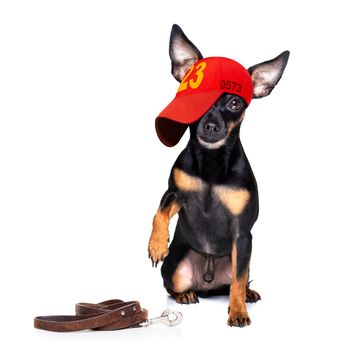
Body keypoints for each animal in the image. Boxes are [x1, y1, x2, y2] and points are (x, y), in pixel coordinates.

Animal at [146, 24, 288, 328]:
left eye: (234, 103)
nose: (211, 126)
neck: (212, 162)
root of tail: (207, 283)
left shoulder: (242, 234)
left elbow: (238, 280)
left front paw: (237, 312)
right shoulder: (175, 193)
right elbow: (159, 212)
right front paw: (157, 244)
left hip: (240, 258)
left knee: (236, 280)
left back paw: (246, 294)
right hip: (176, 269)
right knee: (172, 286)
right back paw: (186, 294)